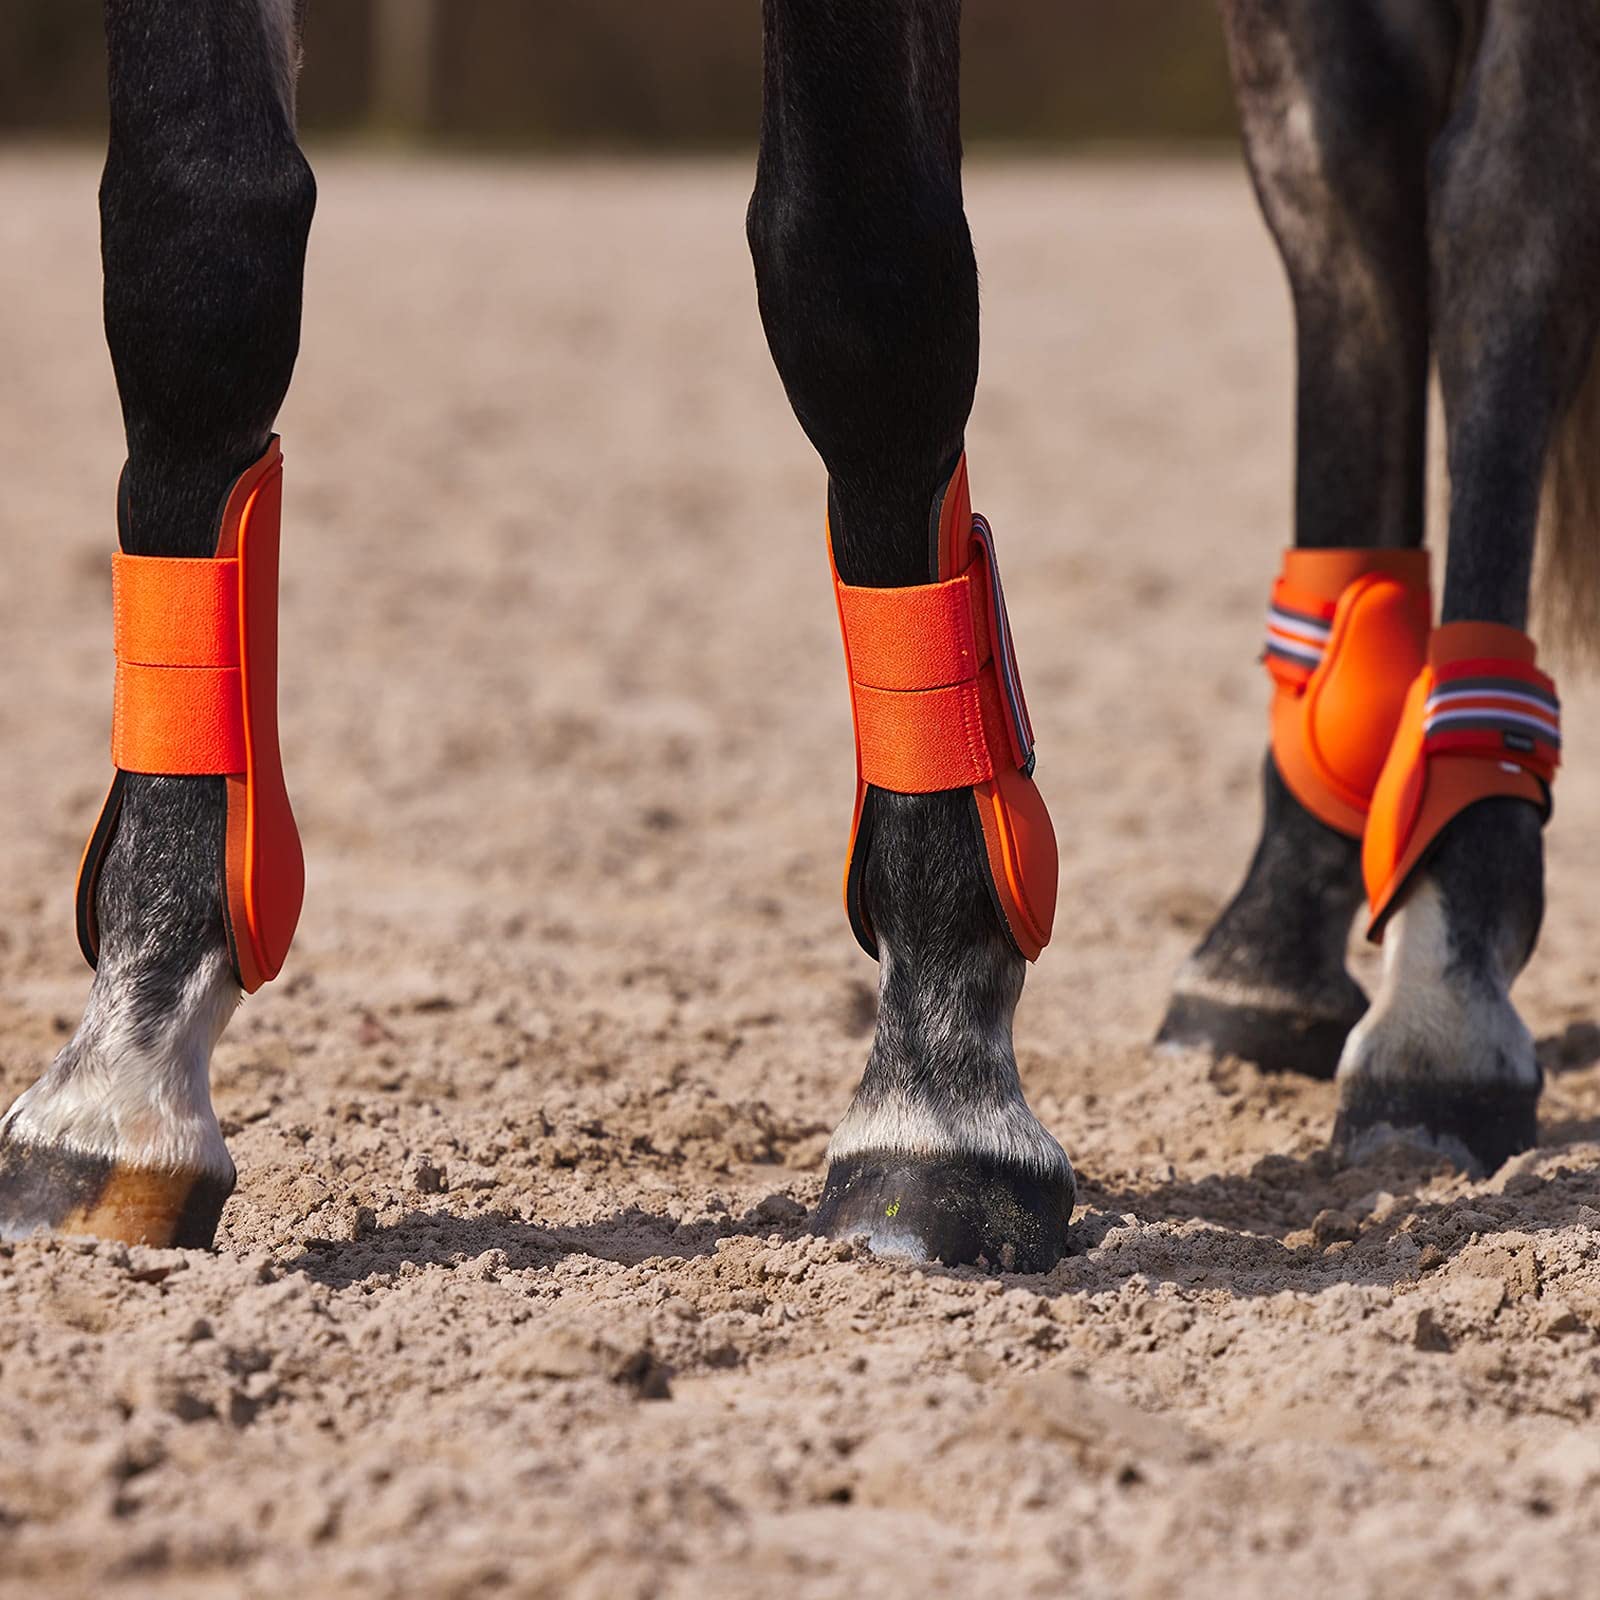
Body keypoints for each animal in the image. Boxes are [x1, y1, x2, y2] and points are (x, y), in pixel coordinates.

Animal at [0, 0, 1596, 1273]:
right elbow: (194, 250)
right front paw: (126, 1054)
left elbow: (860, 267)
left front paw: (939, 1083)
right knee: (1347, 170)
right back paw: (1273, 933)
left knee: (1501, 205)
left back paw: (1449, 964)